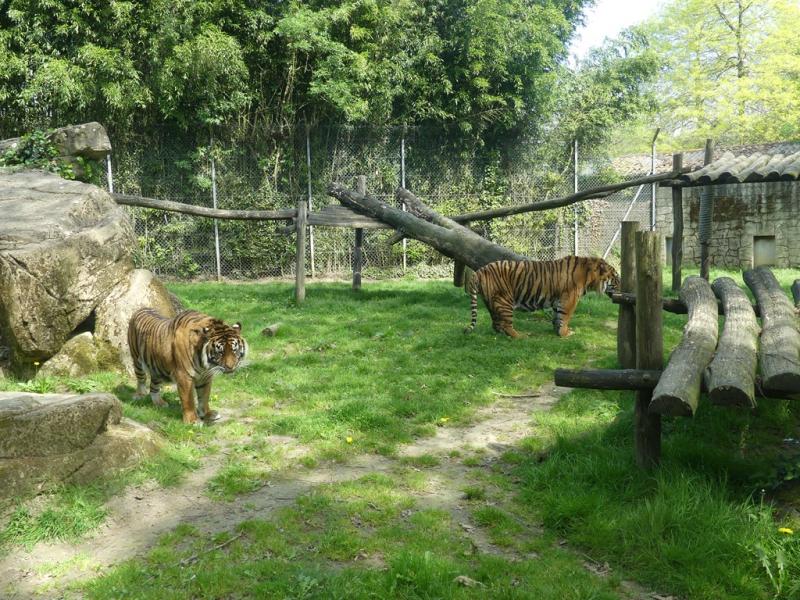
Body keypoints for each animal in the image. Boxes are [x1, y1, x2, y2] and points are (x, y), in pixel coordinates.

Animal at [464, 256, 620, 338]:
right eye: (616, 277)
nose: (622, 284)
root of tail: (479, 271)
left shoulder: (559, 300)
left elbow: (557, 317)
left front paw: (557, 331)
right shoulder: (569, 299)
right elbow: (565, 317)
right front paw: (565, 333)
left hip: (491, 302)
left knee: (496, 324)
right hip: (505, 300)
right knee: (507, 325)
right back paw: (520, 336)